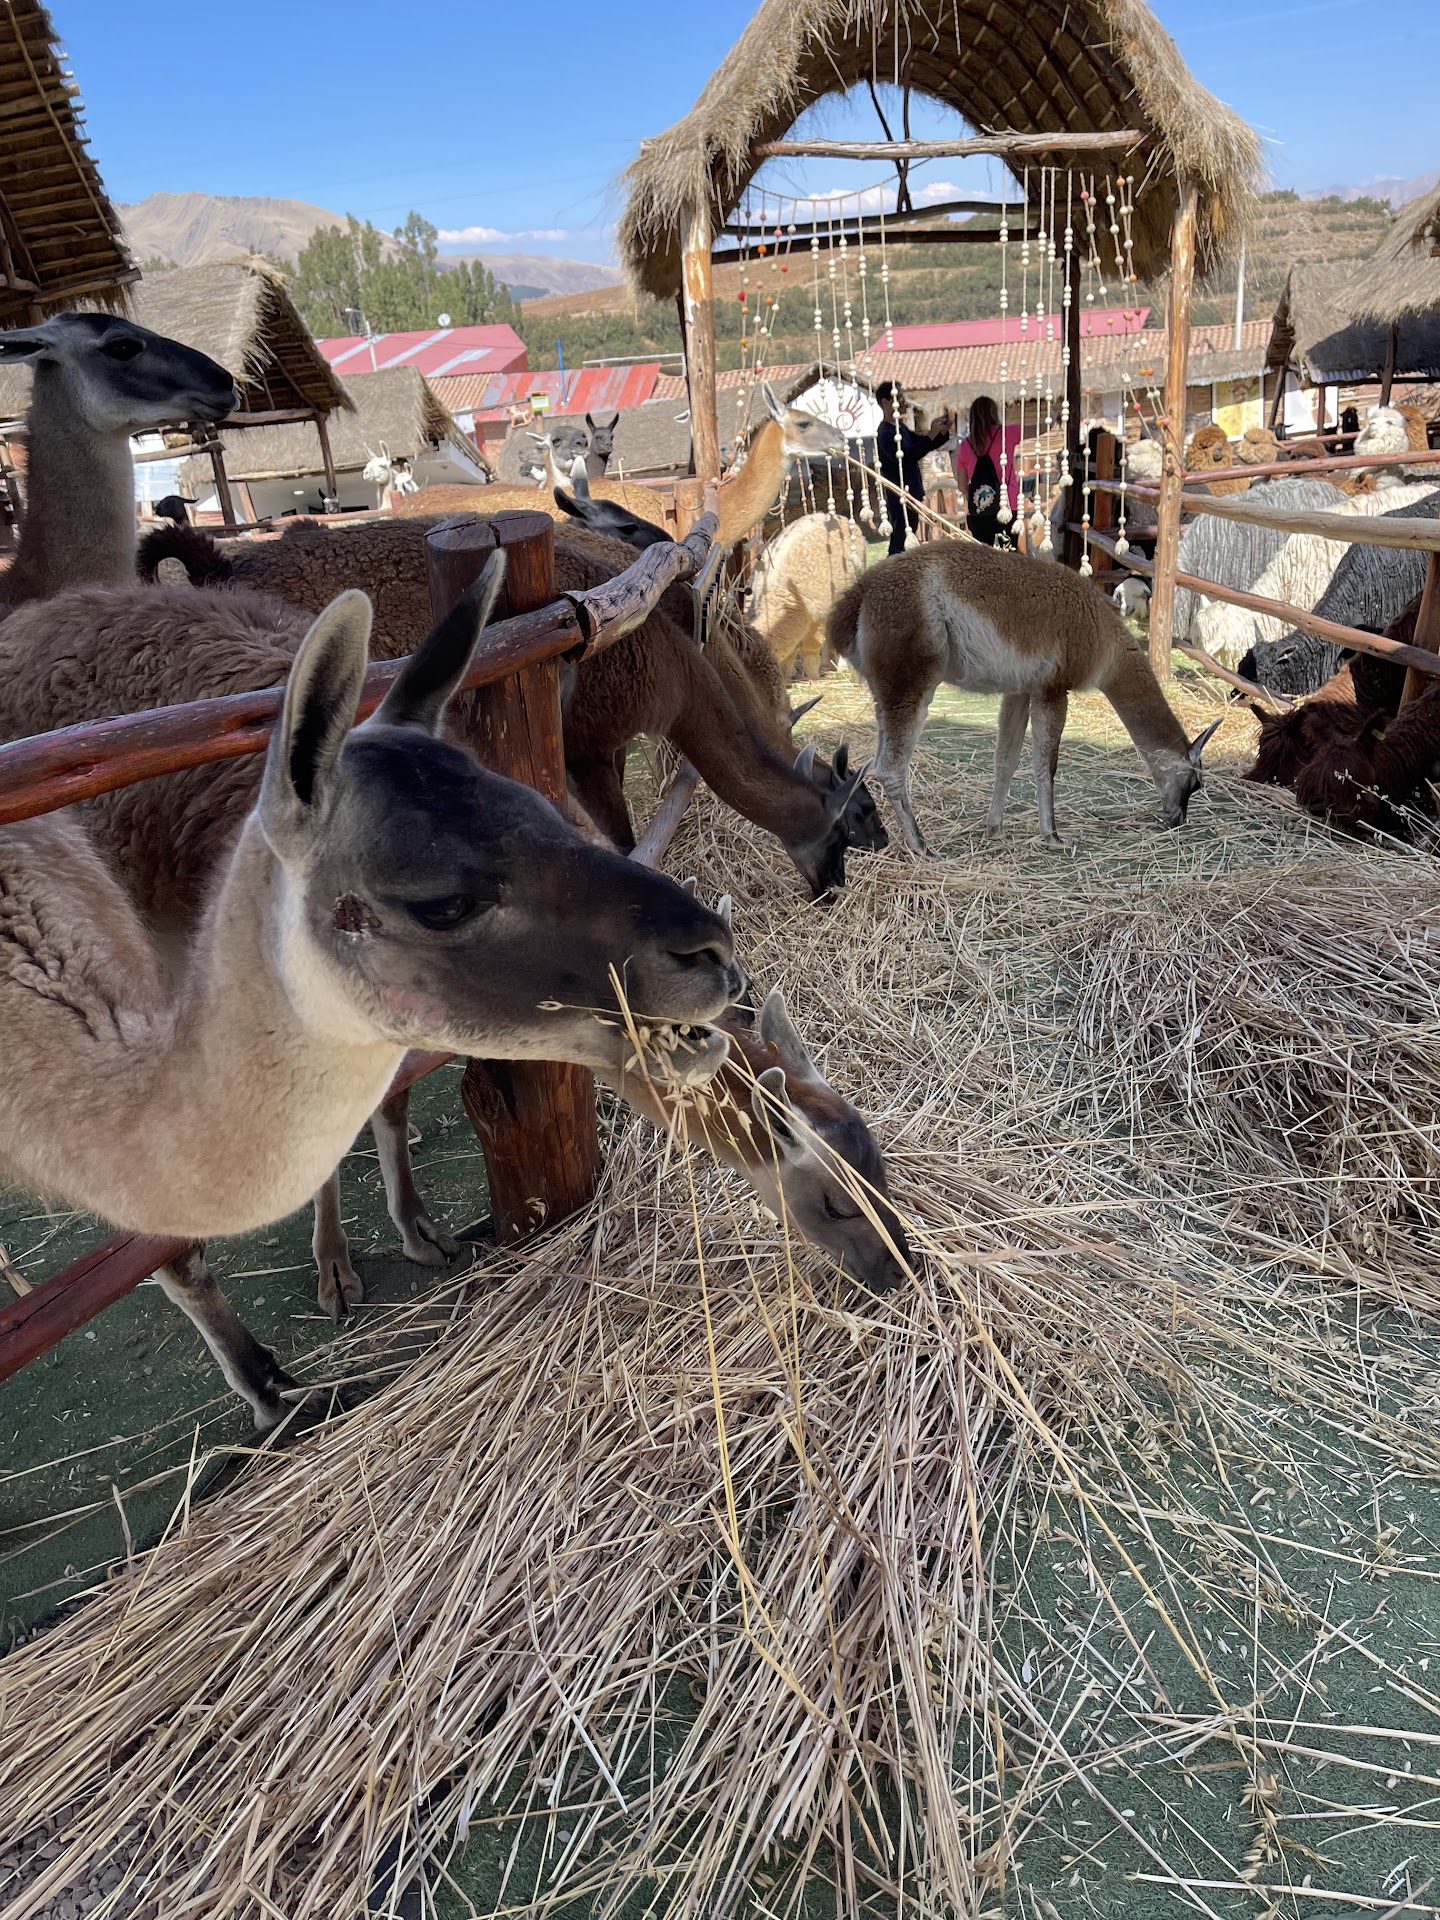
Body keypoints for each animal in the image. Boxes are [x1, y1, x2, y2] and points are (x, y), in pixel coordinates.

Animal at [826, 540, 1221, 850]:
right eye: (1195, 783)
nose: (1178, 819)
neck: (1104, 643)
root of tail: (856, 598)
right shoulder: (1053, 688)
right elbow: (1046, 764)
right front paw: (1053, 836)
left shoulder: (1020, 689)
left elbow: (1006, 760)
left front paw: (994, 828)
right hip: (911, 674)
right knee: (890, 768)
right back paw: (922, 847)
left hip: (886, 687)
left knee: (876, 759)